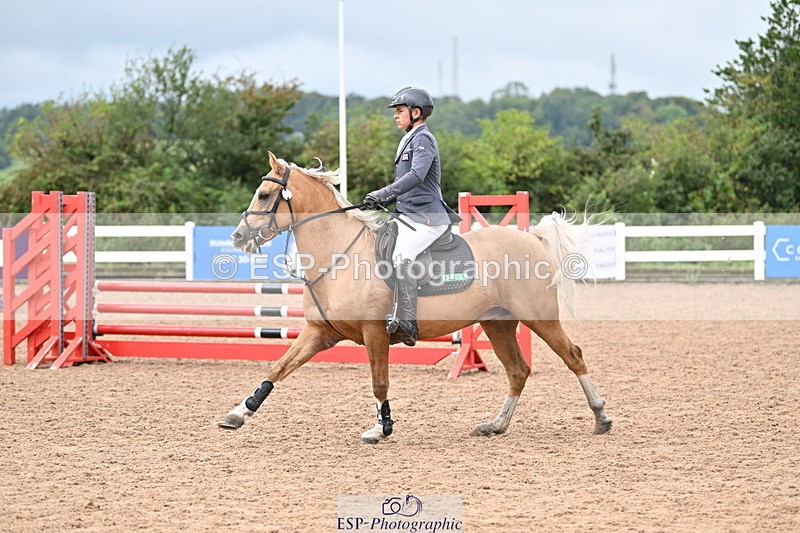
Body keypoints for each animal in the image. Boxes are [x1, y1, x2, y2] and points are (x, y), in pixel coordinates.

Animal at [218, 151, 612, 443]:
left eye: (264, 196)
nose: (237, 236)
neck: (340, 254)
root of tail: (532, 237)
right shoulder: (320, 333)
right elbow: (278, 367)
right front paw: (238, 413)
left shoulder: (374, 333)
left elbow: (379, 382)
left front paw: (381, 429)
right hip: (497, 323)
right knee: (518, 370)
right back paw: (495, 425)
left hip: (540, 319)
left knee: (573, 356)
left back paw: (601, 417)